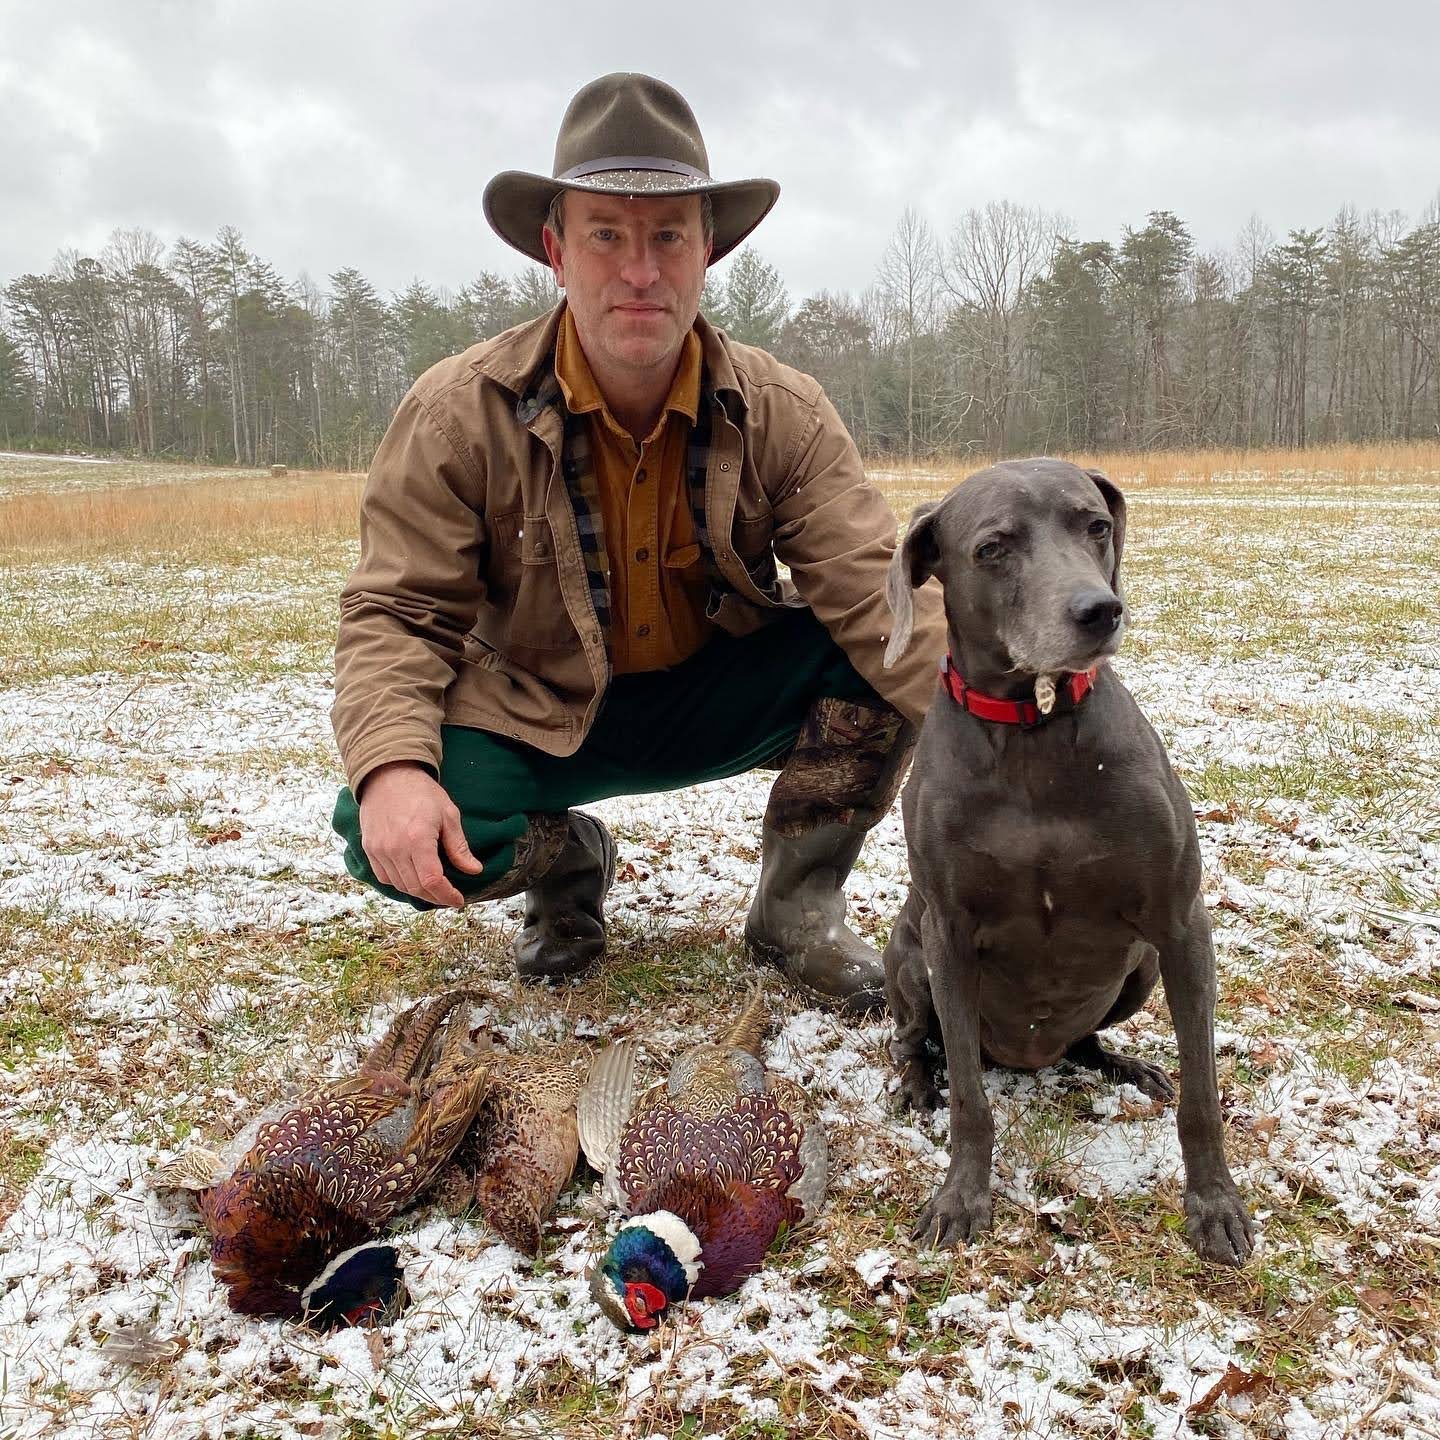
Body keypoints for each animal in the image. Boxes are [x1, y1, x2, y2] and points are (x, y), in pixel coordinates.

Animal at [875, 455, 1249, 1267]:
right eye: (992, 548)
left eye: (1097, 526)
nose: (1099, 611)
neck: (1033, 727)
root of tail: (1028, 1058)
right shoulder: (948, 936)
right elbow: (969, 1101)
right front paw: (960, 1199)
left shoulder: (1182, 926)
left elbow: (1203, 1095)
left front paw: (1214, 1206)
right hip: (910, 960)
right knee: (915, 1038)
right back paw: (916, 1083)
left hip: (1140, 968)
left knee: (1085, 1039)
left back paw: (1123, 1064)